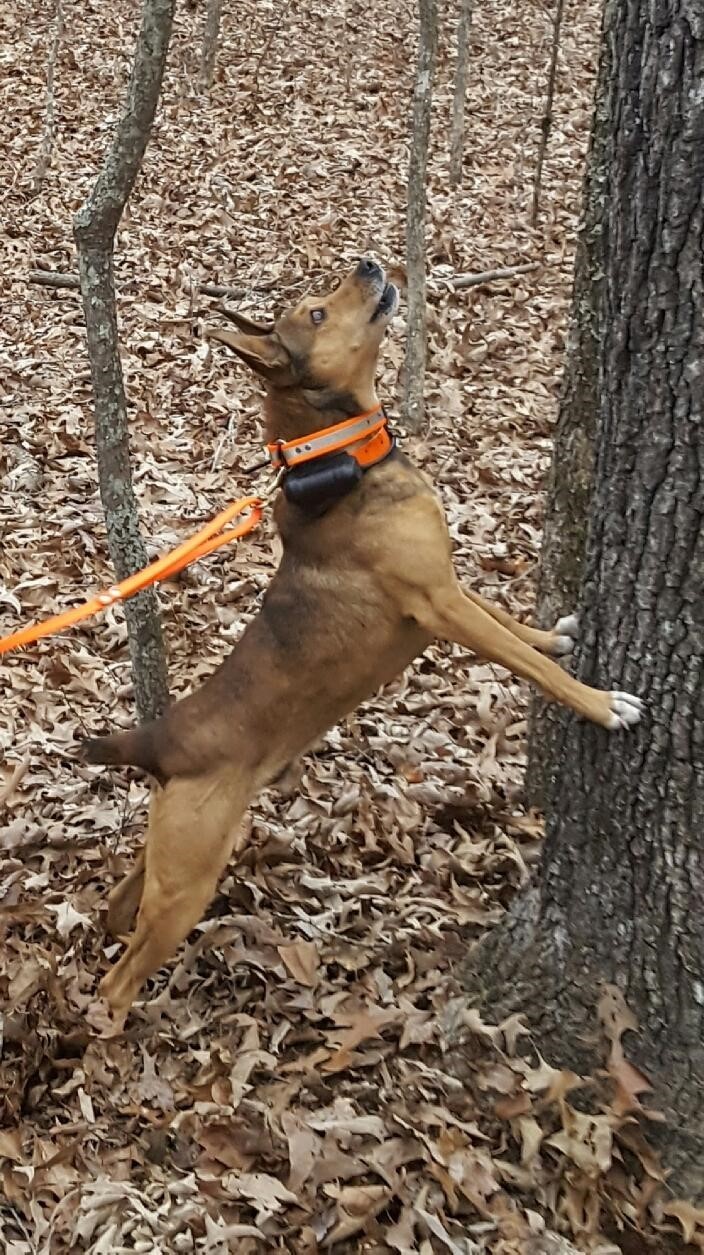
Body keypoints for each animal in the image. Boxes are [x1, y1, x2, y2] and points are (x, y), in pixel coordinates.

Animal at [83, 259, 642, 1024]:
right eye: (317, 313)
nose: (370, 264)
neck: (341, 459)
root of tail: (158, 742)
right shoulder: (439, 605)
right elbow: (528, 665)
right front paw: (601, 702)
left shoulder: (448, 585)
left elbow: (508, 620)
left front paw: (554, 634)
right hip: (189, 878)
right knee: (119, 977)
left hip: (172, 854)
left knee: (116, 909)